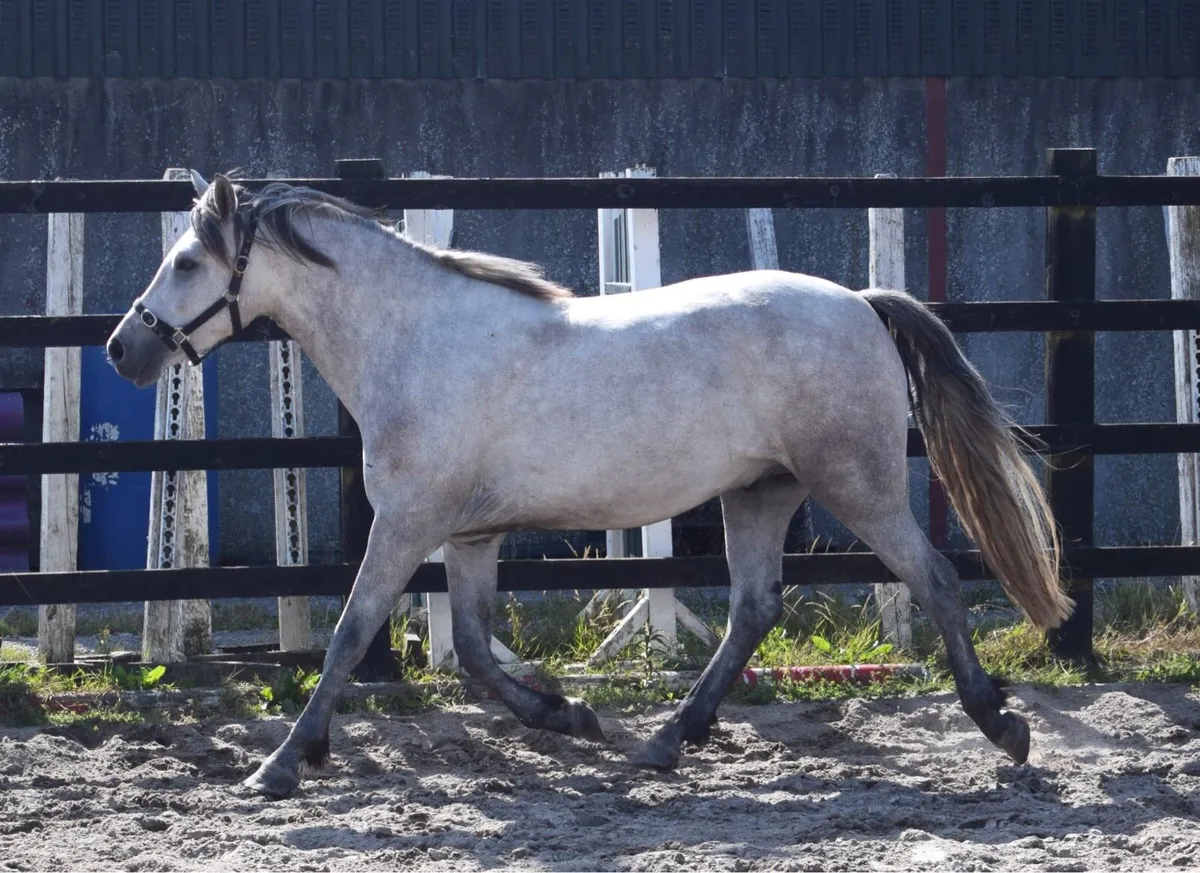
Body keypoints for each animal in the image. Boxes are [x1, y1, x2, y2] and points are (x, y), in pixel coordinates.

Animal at [105, 171, 1072, 799]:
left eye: (187, 262)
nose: (124, 347)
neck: (415, 341)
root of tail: (862, 302)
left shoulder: (408, 522)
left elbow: (350, 634)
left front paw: (279, 765)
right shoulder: (468, 534)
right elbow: (473, 651)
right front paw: (570, 715)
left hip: (854, 481)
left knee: (933, 576)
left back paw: (1003, 726)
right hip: (759, 491)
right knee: (754, 606)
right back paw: (664, 740)